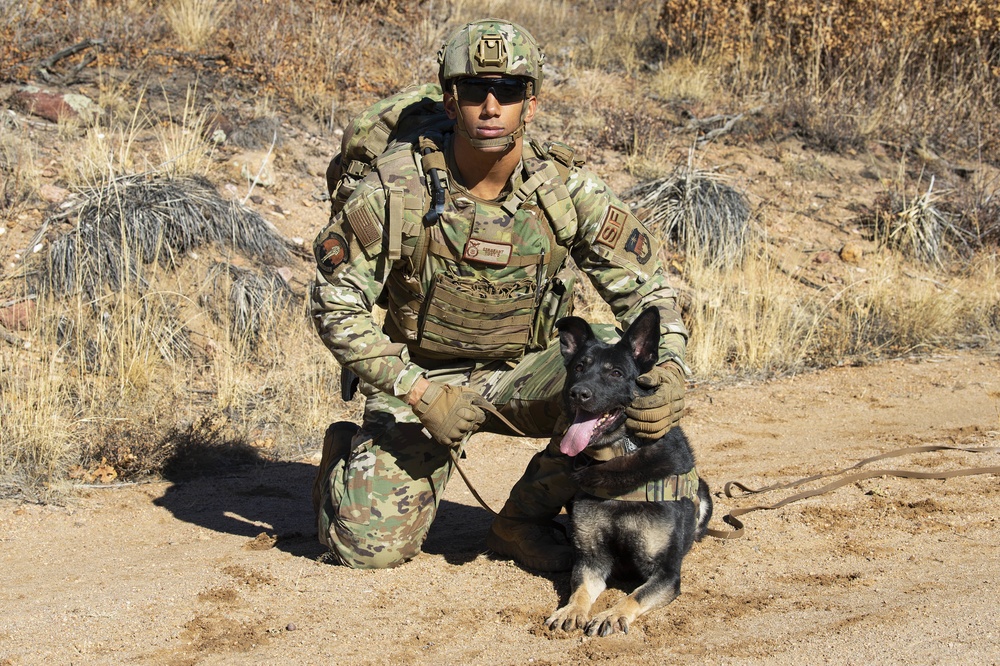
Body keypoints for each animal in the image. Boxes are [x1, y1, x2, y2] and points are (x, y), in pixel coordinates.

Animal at [548, 304, 712, 636]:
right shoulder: (590, 561)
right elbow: (580, 590)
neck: (619, 454)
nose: (578, 393)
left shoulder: (666, 573)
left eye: (616, 373)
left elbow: (635, 596)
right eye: (579, 368)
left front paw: (611, 615)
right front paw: (571, 610)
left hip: (705, 495)